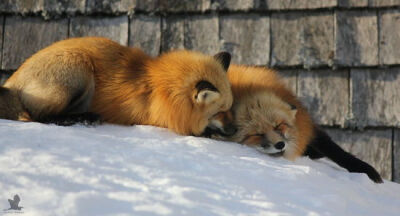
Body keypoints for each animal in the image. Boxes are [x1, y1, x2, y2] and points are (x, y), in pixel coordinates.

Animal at [0, 36, 236, 136]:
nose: (235, 129)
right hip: (79, 68)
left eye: (231, 109)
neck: (162, 89)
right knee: (39, 117)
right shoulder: (160, 120)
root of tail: (12, 82)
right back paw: (82, 118)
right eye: (219, 112)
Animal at [212, 65, 384, 183]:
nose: (280, 144)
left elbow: (336, 151)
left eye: (278, 125)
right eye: (257, 134)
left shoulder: (308, 126)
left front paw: (366, 170)